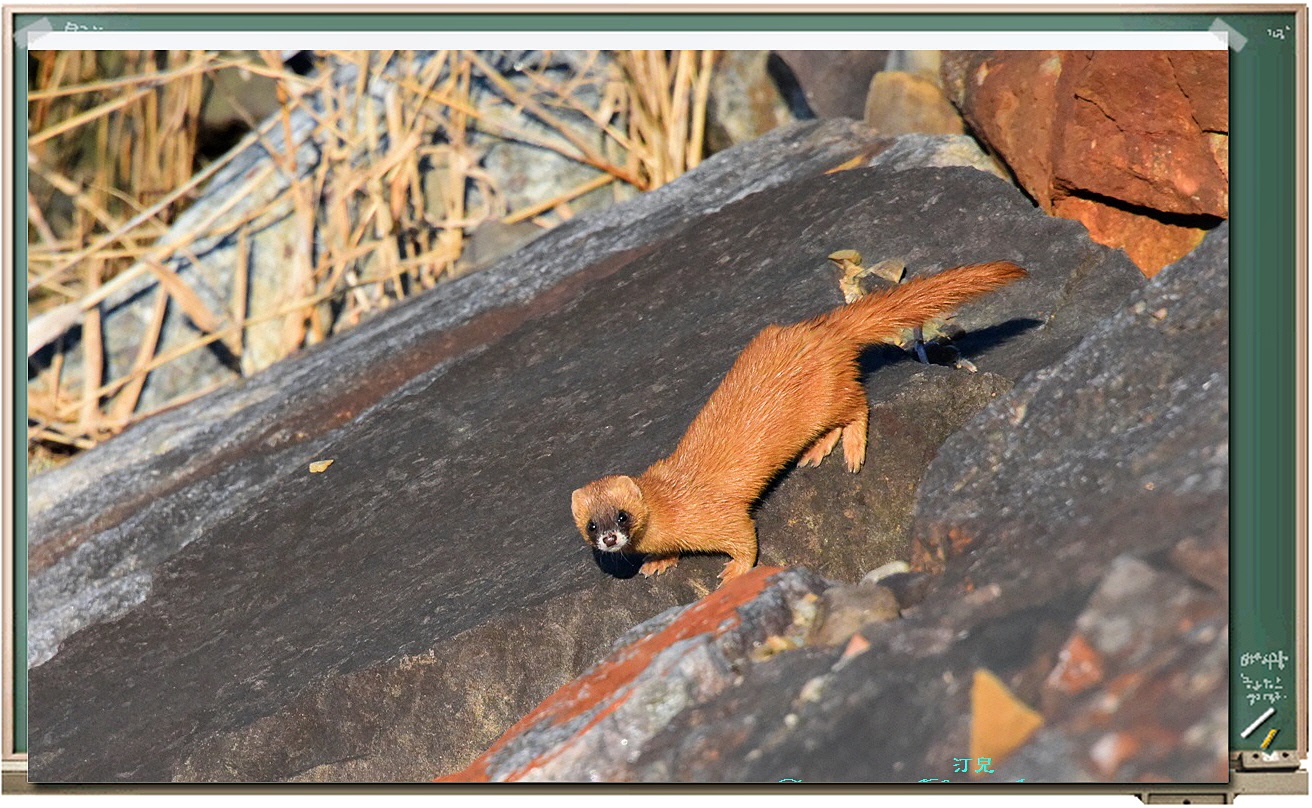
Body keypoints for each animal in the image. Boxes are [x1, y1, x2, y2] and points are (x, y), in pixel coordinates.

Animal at [571, 260, 1027, 585]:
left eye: (622, 516)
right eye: (592, 524)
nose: (609, 539)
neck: (671, 503)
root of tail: (824, 329)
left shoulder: (718, 514)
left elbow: (744, 537)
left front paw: (733, 573)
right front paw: (658, 562)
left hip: (829, 396)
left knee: (857, 406)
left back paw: (852, 449)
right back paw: (816, 449)